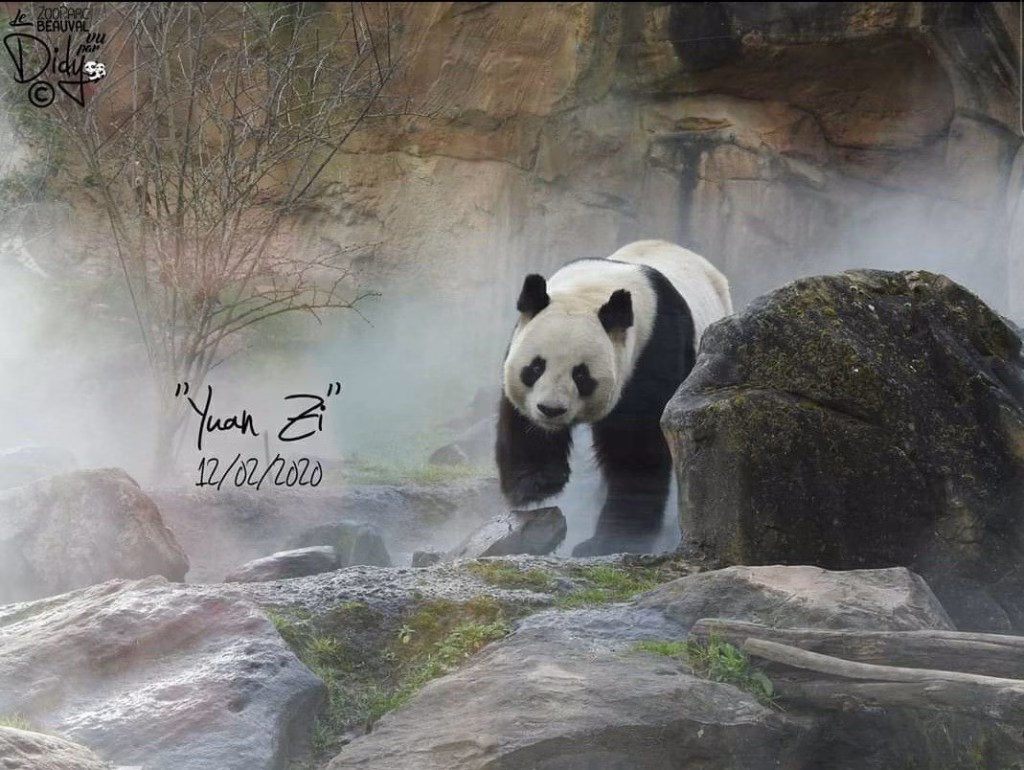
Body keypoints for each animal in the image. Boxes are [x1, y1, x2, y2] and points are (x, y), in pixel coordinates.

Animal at [495, 239, 733, 556]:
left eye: (581, 374)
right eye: (535, 367)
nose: (551, 410)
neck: (592, 290)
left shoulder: (653, 349)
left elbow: (635, 448)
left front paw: (612, 539)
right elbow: (521, 421)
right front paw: (535, 484)